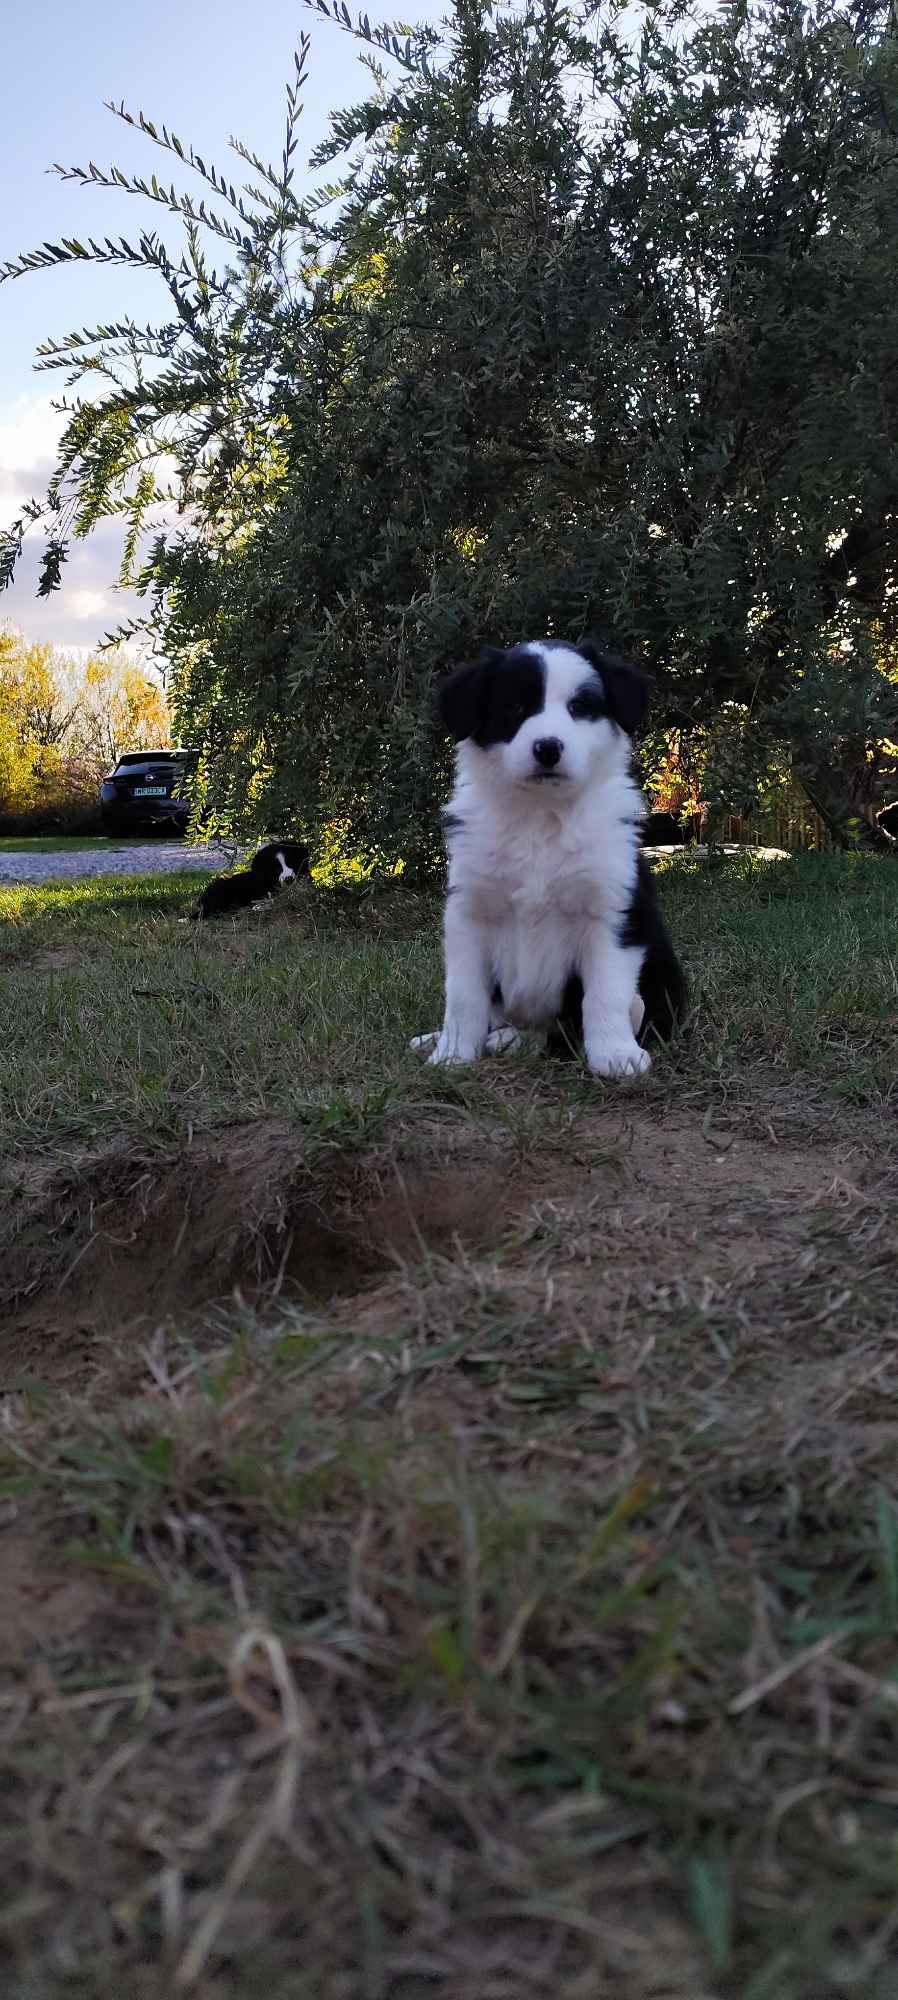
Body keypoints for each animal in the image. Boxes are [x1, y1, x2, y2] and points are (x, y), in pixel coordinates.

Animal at [412, 640, 688, 1080]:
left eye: (580, 707)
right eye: (515, 706)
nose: (548, 748)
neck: (540, 815)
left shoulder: (612, 913)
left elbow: (605, 995)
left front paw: (615, 1055)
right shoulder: (468, 914)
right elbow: (464, 996)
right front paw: (452, 1053)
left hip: (662, 983)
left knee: (574, 1025)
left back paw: (514, 1040)